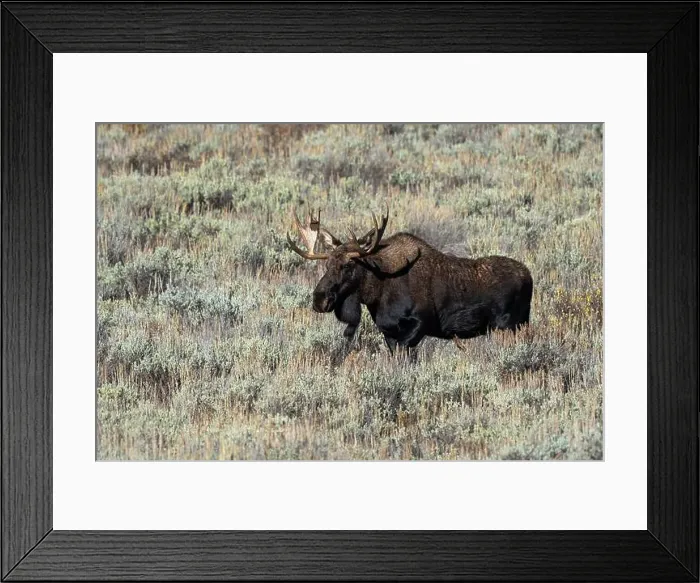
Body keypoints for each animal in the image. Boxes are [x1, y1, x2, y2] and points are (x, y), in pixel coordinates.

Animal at [286, 206, 532, 355]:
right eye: (327, 264)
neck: (375, 294)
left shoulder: (419, 324)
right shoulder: (388, 332)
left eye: (348, 266)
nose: (319, 299)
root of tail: (529, 277)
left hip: (508, 325)